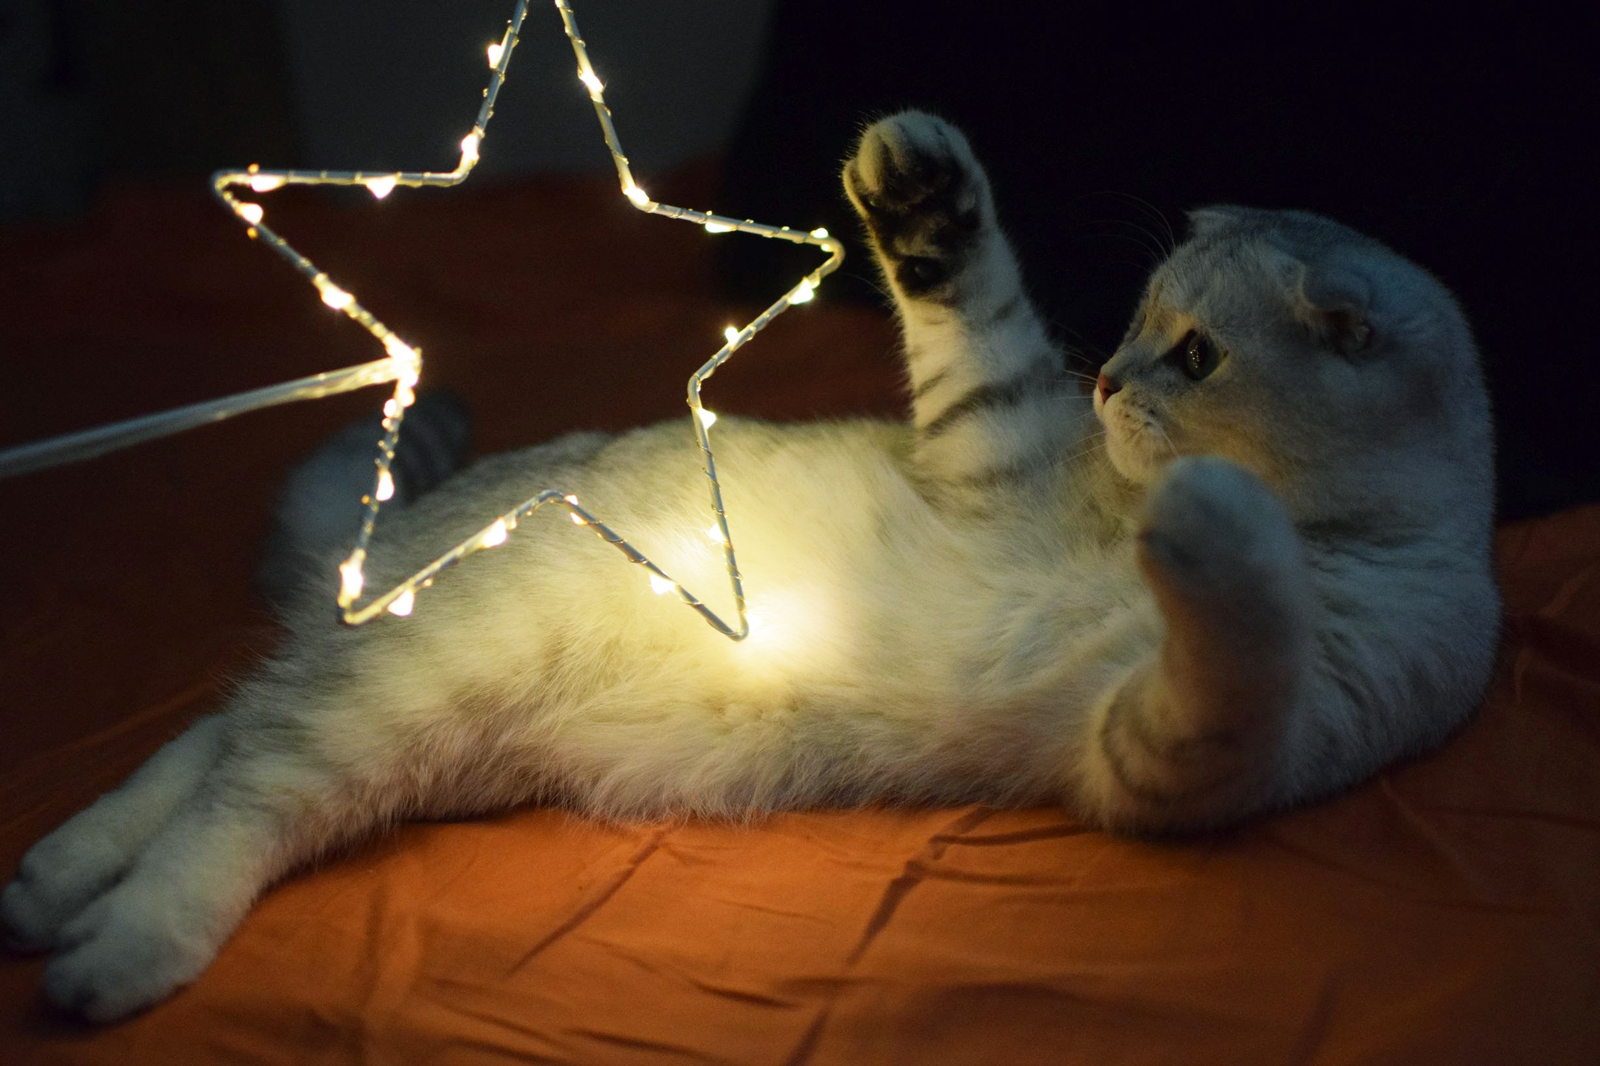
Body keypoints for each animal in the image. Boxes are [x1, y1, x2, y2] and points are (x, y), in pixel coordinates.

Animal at [0, 112, 1497, 1017]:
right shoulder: (996, 443)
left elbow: (1243, 625)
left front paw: (1216, 523)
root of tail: (411, 530)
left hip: (426, 723)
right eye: (1133, 323)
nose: (1110, 380)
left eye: (1194, 356)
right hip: (414, 678)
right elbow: (980, 309)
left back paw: (64, 898)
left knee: (226, 749)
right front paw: (923, 194)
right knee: (234, 773)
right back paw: (97, 926)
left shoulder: (1185, 751)